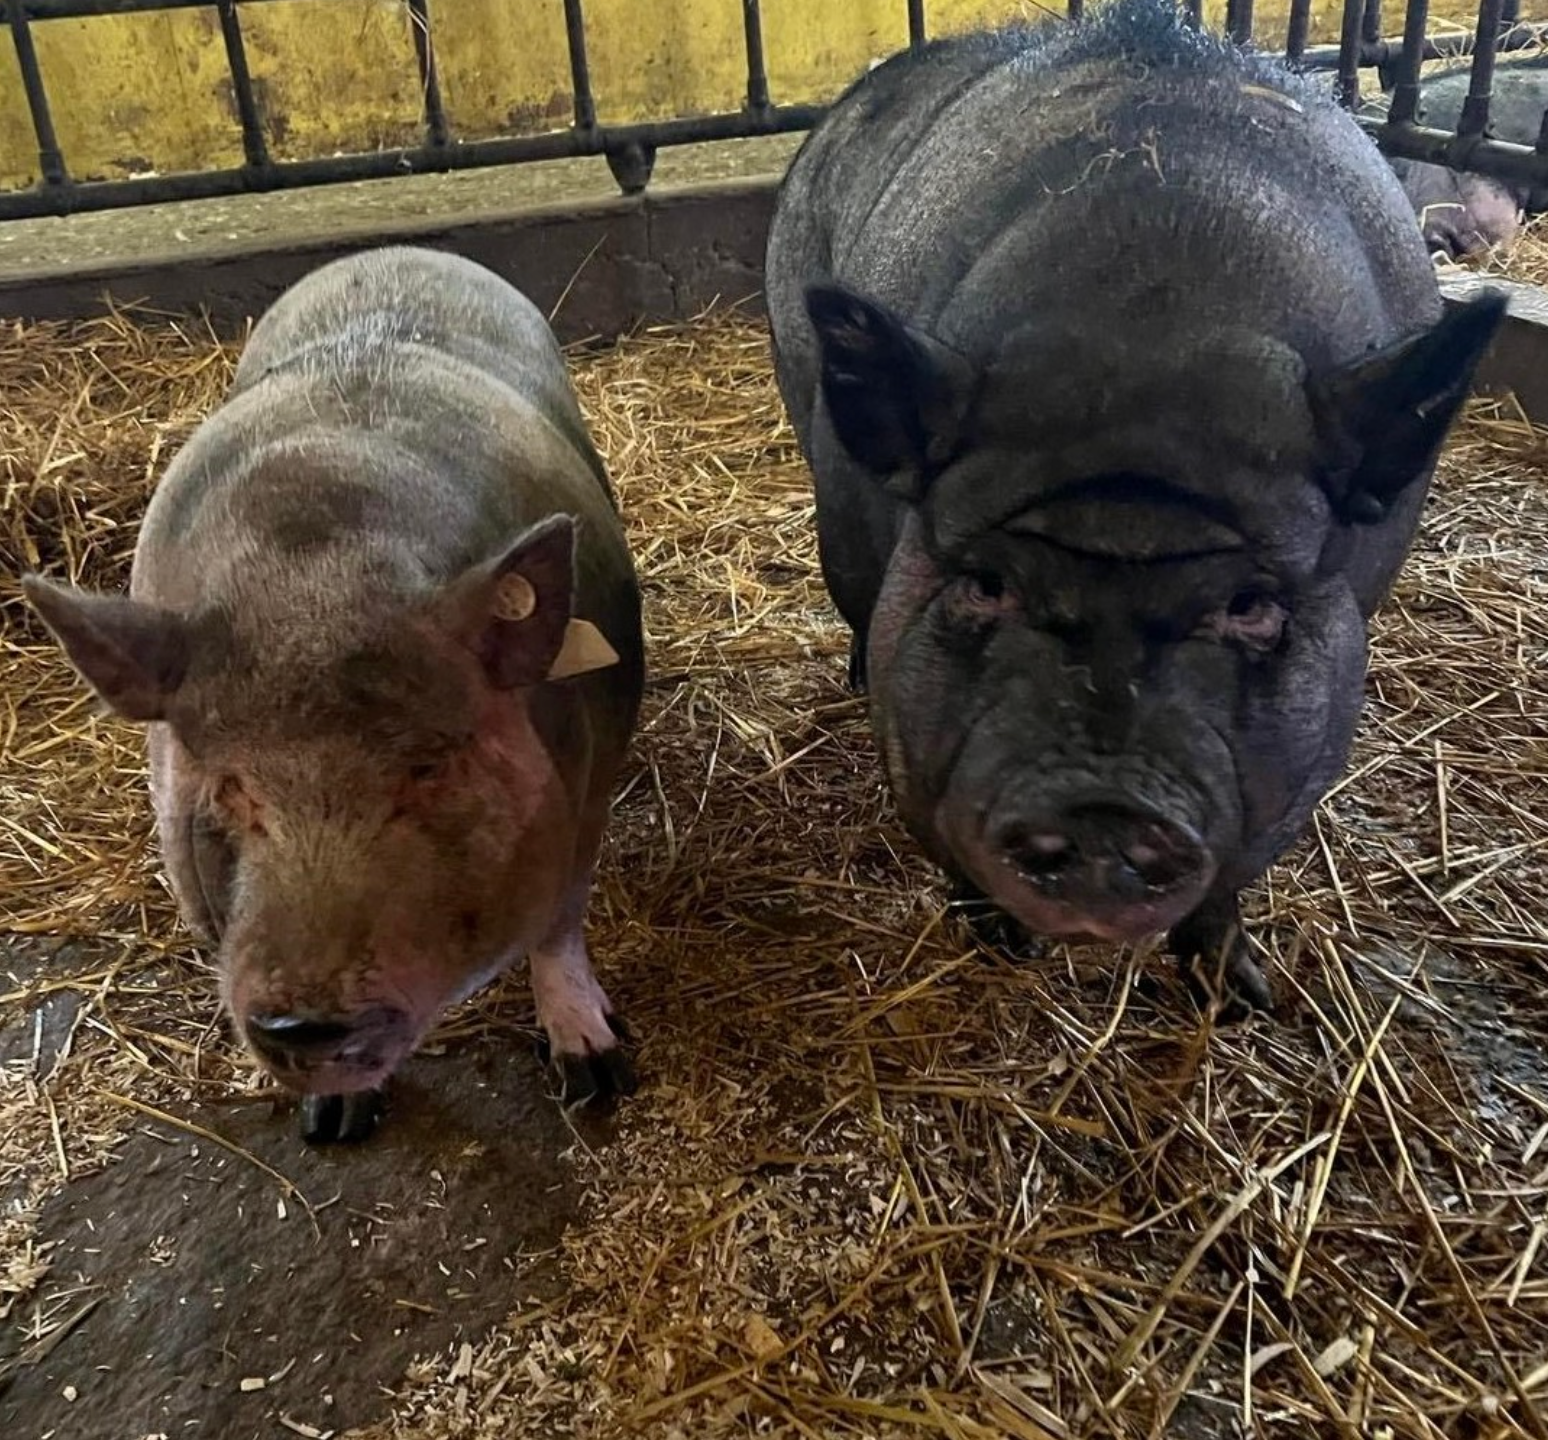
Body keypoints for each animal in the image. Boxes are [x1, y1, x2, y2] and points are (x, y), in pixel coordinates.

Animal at [22, 246, 644, 1143]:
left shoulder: (590, 774)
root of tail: (390, 252)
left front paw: (599, 1074)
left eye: (429, 769)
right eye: (231, 788)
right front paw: (334, 1126)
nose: (304, 1022)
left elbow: (559, 926)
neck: (317, 576)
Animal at [764, 0, 1505, 1016]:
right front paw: (1000, 945)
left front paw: (1242, 998)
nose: (1104, 810)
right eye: (986, 582)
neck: (1153, 346)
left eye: (1250, 605)